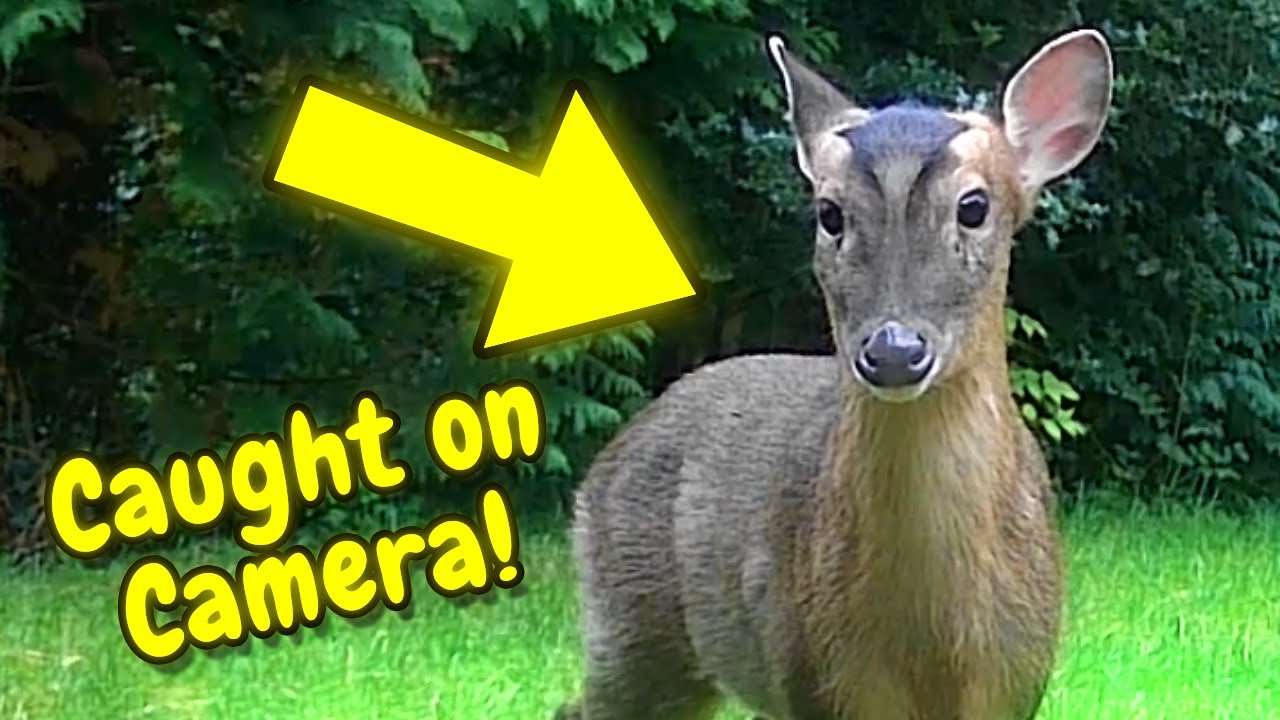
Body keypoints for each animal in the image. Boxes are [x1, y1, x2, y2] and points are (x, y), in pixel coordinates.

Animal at [556, 27, 1113, 720]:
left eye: (975, 206)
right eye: (830, 212)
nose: (895, 351)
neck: (934, 645)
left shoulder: (1017, 679)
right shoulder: (815, 674)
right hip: (630, 616)